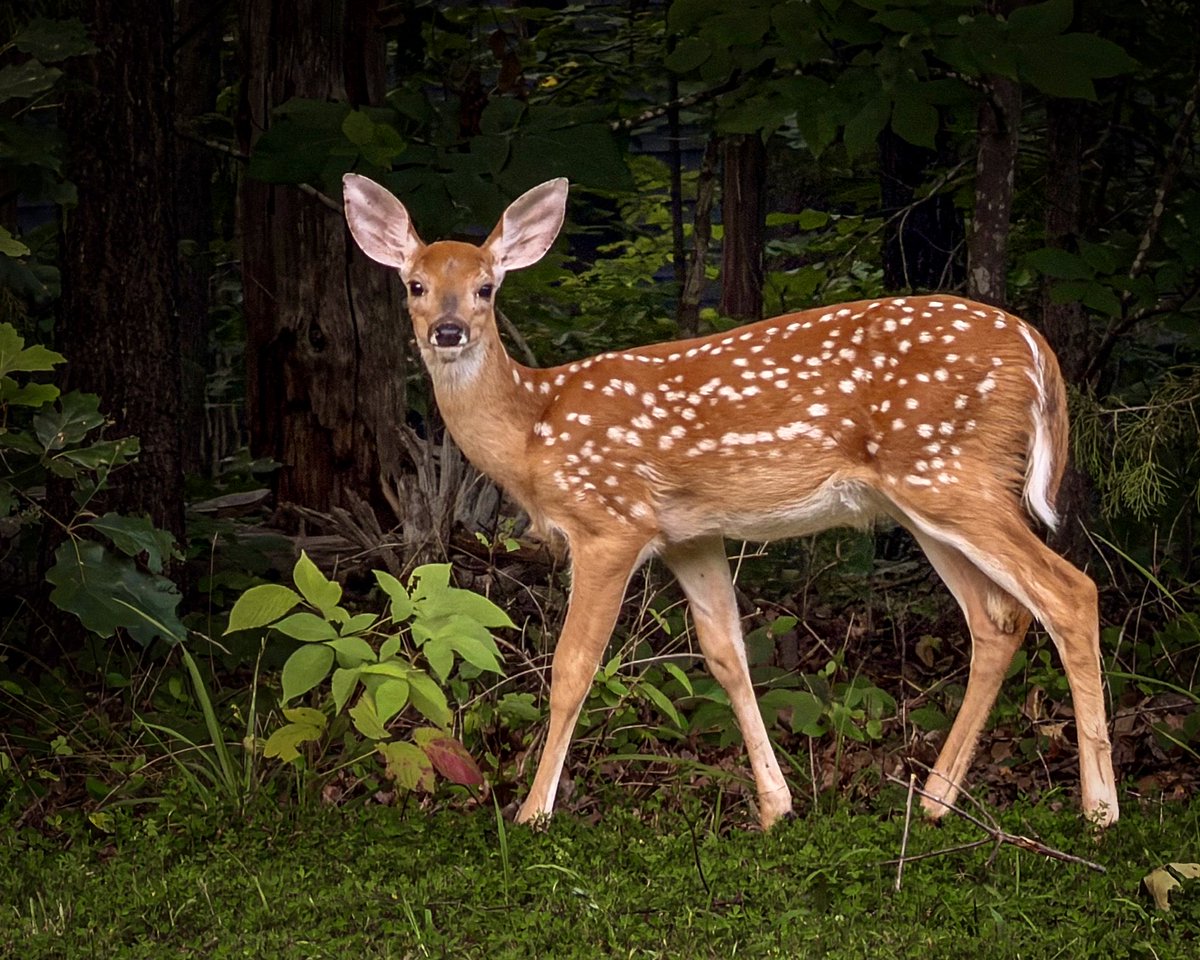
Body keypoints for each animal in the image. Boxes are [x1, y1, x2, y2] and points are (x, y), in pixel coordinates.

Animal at [342, 173, 1119, 830]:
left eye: (486, 288)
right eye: (415, 284)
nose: (448, 331)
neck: (533, 431)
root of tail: (1039, 351)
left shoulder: (610, 522)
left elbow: (572, 668)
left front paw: (533, 812)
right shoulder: (691, 533)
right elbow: (726, 657)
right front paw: (777, 806)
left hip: (950, 472)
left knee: (1069, 592)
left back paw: (1100, 810)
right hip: (924, 497)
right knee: (998, 617)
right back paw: (934, 801)